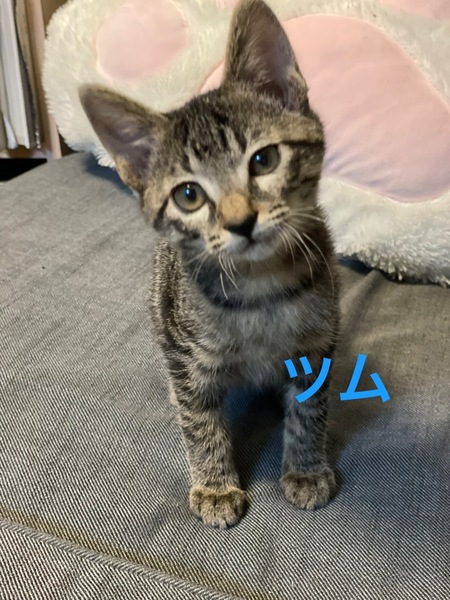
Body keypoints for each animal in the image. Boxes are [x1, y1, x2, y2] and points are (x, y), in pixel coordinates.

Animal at [79, 0, 340, 529]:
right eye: (188, 195)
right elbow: (199, 419)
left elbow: (310, 410)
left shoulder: (318, 344)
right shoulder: (186, 354)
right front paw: (216, 486)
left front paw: (305, 469)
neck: (260, 287)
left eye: (263, 160)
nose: (241, 222)